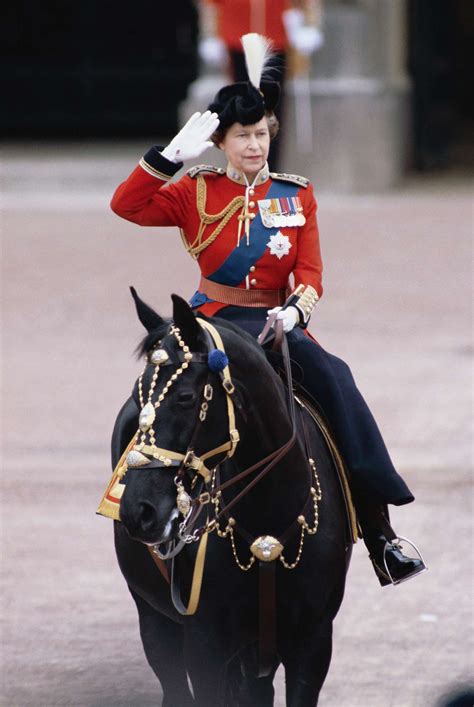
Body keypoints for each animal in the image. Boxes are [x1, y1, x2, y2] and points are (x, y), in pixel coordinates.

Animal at [112, 290, 352, 704]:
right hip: (155, 619)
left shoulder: (313, 642)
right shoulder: (205, 644)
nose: (138, 512)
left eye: (185, 396)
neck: (269, 514)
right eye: (137, 396)